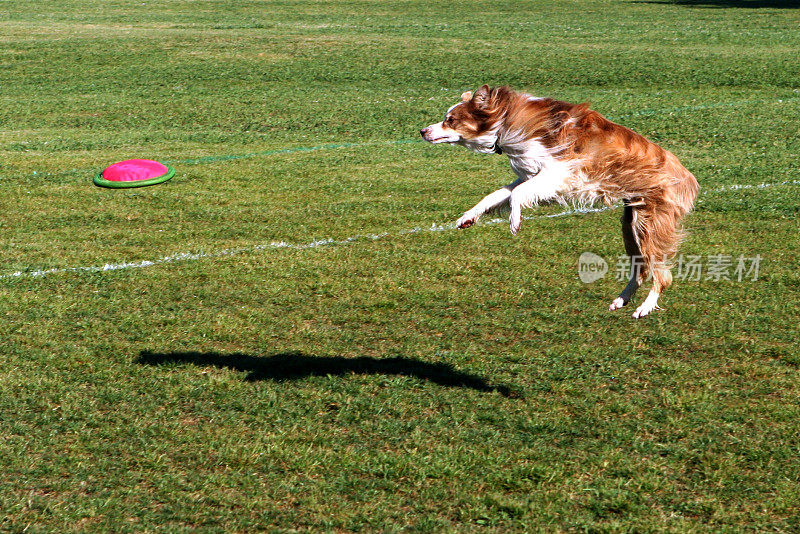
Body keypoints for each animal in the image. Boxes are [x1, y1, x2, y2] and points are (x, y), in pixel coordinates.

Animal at [422, 84, 696, 318]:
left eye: (450, 119)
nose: (422, 131)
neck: (506, 117)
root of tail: (686, 176)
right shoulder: (533, 175)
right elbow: (498, 195)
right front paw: (467, 217)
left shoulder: (561, 172)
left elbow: (517, 196)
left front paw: (514, 221)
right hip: (630, 226)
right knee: (641, 270)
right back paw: (621, 300)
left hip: (649, 223)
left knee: (662, 275)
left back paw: (645, 307)